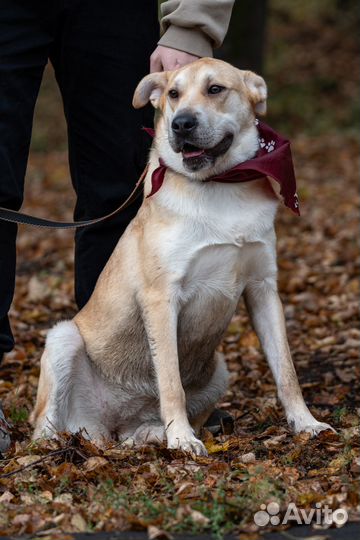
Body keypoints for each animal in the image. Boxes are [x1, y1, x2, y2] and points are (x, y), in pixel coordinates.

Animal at [31, 60, 332, 456]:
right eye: (173, 94)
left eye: (215, 89)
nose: (182, 123)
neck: (219, 185)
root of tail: (107, 427)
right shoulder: (162, 299)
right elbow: (171, 381)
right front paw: (182, 438)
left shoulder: (263, 289)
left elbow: (287, 372)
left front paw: (306, 423)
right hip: (62, 338)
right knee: (42, 423)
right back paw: (52, 444)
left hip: (219, 369)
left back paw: (150, 434)